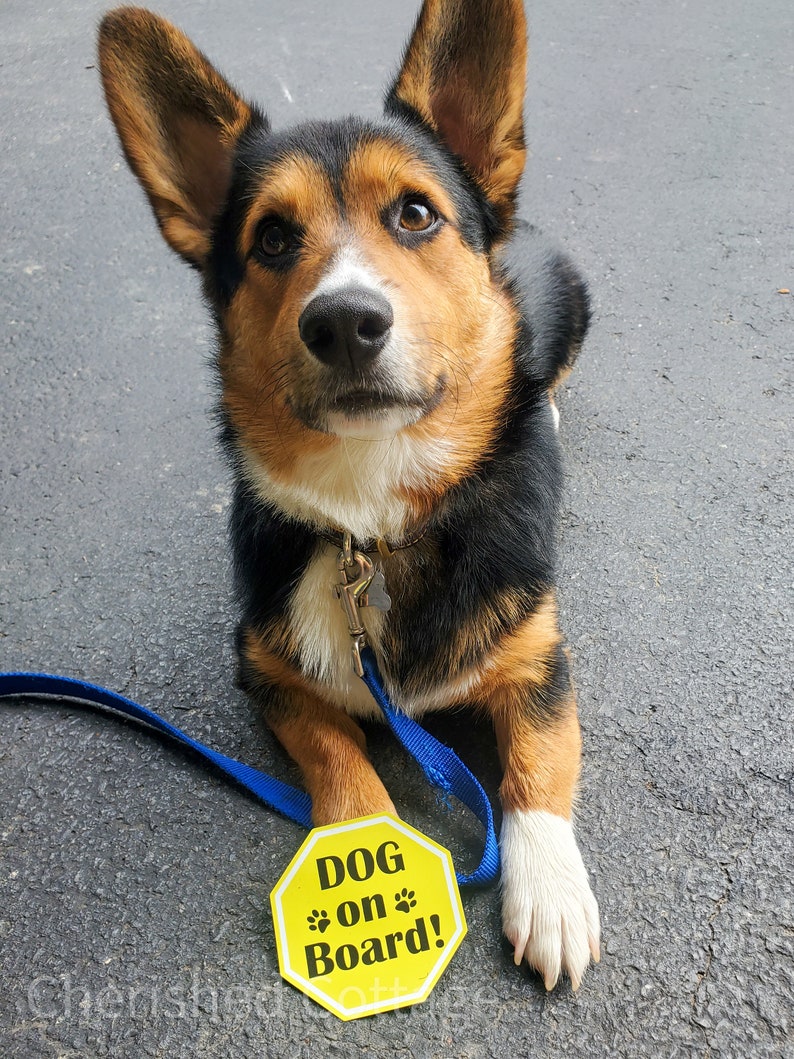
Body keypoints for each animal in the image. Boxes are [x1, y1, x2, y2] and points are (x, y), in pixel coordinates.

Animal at [96, 0, 601, 991]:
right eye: (271, 238)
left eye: (414, 213)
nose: (343, 321)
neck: (373, 516)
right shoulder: (267, 667)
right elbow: (342, 765)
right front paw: (370, 856)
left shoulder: (538, 657)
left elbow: (538, 764)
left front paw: (554, 892)